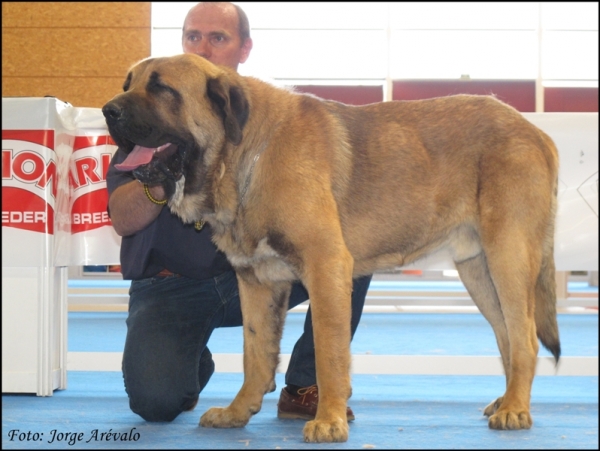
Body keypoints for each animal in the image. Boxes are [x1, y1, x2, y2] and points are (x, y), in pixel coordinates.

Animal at [104, 52, 564, 442]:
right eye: (128, 83)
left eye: (162, 88)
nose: (109, 110)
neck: (245, 155)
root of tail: (537, 132)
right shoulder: (256, 281)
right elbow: (256, 354)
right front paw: (238, 412)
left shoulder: (326, 265)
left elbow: (328, 352)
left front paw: (328, 421)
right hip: (477, 267)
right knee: (507, 335)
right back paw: (506, 401)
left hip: (507, 255)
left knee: (524, 336)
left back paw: (515, 409)